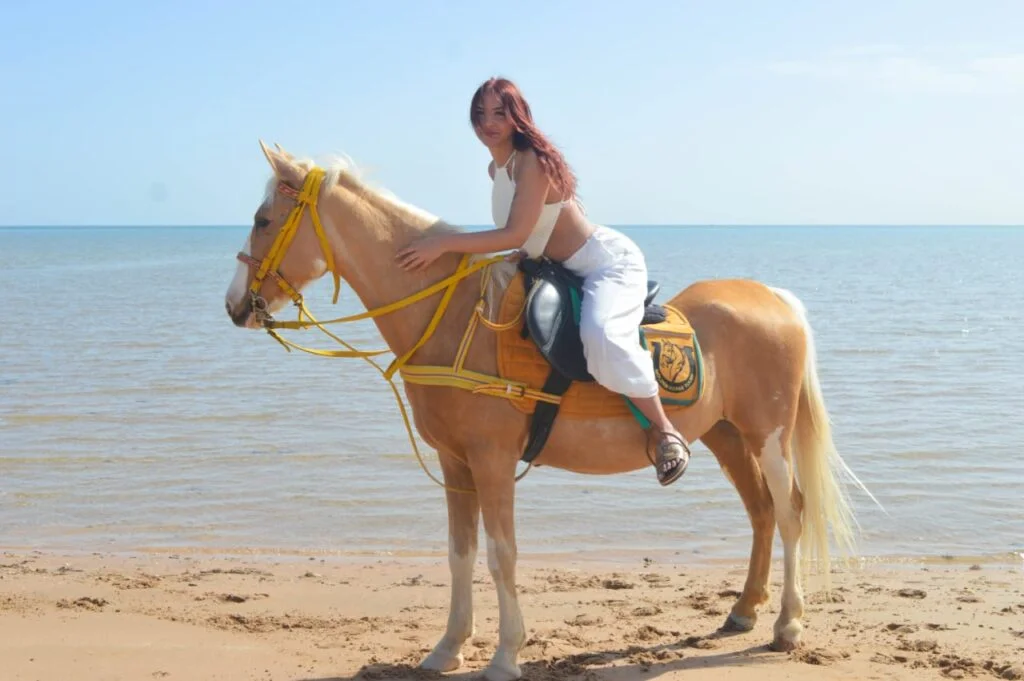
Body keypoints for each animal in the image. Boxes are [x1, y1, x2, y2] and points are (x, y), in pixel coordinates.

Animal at [224, 141, 872, 681]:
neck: (453, 315)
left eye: (263, 220)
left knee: (789, 512)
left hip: (768, 436)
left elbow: (500, 555)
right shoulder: (456, 464)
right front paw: (448, 648)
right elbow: (459, 555)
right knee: (761, 513)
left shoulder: (490, 461)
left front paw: (505, 656)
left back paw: (788, 624)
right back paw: (743, 610)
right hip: (725, 436)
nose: (234, 306)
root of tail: (774, 299)